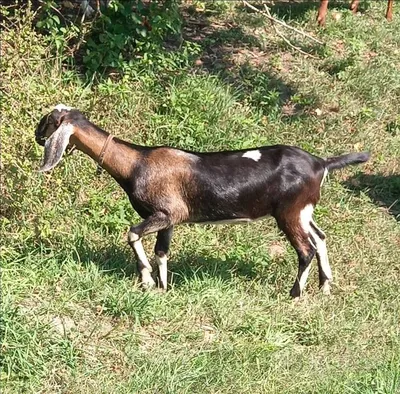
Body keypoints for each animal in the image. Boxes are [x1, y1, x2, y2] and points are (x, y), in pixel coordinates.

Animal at [36, 104, 370, 298]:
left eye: (49, 121)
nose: (37, 136)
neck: (136, 163)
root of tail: (320, 164)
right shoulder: (170, 218)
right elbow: (162, 251)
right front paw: (164, 287)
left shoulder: (164, 212)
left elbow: (132, 234)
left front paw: (146, 281)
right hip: (303, 211)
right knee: (321, 238)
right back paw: (324, 287)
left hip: (289, 212)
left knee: (306, 249)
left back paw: (295, 294)